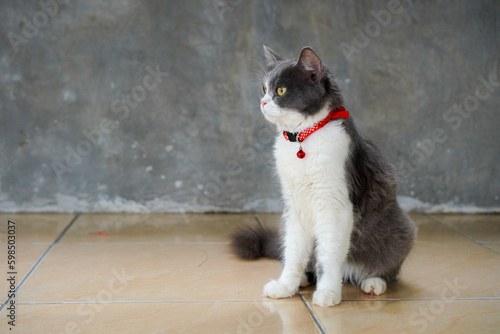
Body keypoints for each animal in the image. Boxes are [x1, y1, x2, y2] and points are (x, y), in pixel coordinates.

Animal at [231, 45, 418, 306]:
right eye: (265, 89)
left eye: (281, 90)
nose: (262, 102)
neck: (303, 138)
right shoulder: (294, 207)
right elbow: (294, 252)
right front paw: (285, 285)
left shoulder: (335, 206)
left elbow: (328, 255)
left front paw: (328, 292)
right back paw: (303, 279)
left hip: (401, 231)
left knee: (387, 268)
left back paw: (373, 281)